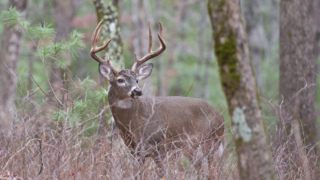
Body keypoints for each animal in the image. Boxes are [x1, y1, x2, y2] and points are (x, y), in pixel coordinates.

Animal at [90, 20, 225, 177]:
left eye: (137, 79)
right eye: (120, 80)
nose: (137, 91)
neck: (135, 125)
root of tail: (221, 117)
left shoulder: (159, 146)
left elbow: (162, 174)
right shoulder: (135, 151)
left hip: (210, 141)